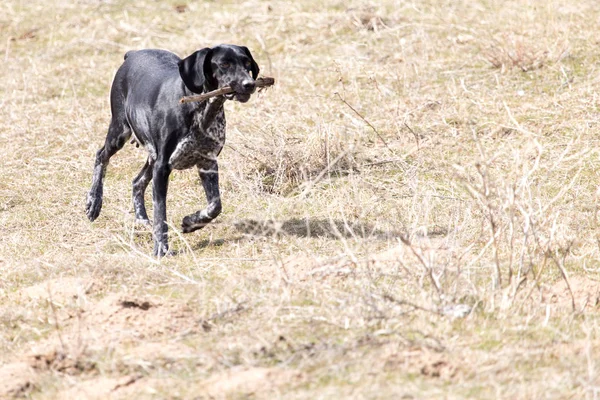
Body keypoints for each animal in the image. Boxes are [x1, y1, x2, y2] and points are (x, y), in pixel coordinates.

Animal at [85, 44, 260, 256]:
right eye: (224, 64)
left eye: (247, 63)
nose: (249, 84)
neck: (202, 110)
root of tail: (132, 54)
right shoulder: (162, 168)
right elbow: (161, 213)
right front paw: (161, 248)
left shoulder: (207, 163)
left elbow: (215, 206)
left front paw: (192, 222)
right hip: (120, 132)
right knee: (101, 157)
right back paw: (94, 201)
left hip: (152, 157)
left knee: (137, 182)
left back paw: (141, 220)